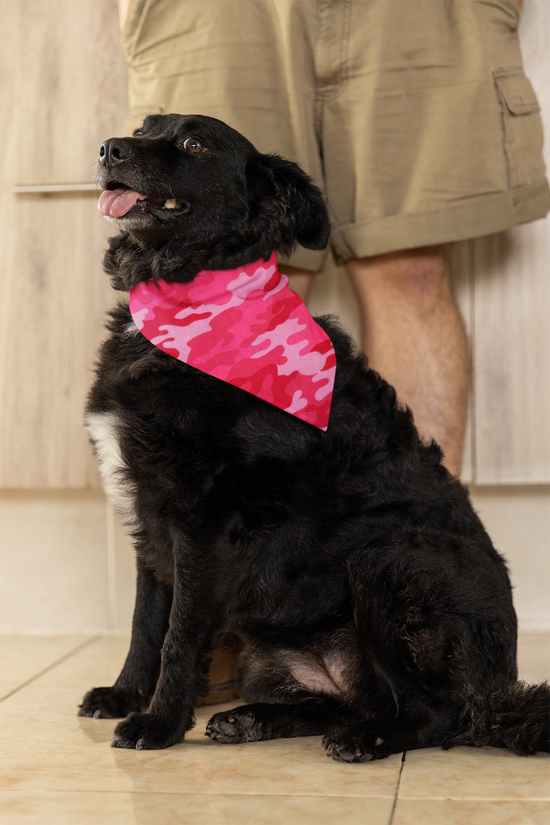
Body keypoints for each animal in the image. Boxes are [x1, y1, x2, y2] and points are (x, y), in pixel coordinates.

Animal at [78, 114, 550, 760]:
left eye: (193, 144)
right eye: (143, 126)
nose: (107, 149)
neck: (189, 293)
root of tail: (498, 692)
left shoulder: (202, 523)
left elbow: (179, 634)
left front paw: (159, 723)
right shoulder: (149, 512)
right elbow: (145, 623)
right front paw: (125, 695)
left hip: (393, 560)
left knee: (435, 714)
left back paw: (369, 739)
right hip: (275, 654)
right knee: (342, 702)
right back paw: (253, 718)